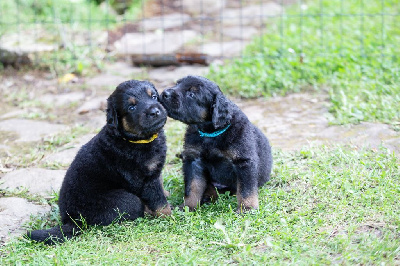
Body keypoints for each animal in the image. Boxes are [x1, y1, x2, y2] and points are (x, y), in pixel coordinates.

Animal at [26, 80, 170, 244]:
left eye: (153, 96)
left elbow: (160, 184)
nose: (155, 112)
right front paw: (170, 216)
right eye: (131, 107)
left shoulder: (154, 170)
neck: (134, 140)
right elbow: (158, 201)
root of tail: (72, 221)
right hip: (125, 201)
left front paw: (166, 193)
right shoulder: (144, 178)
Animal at [159, 76, 272, 213]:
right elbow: (192, 187)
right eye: (177, 84)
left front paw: (247, 208)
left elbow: (246, 189)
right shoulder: (194, 160)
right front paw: (188, 206)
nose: (165, 93)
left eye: (192, 94)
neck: (211, 134)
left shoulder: (244, 161)